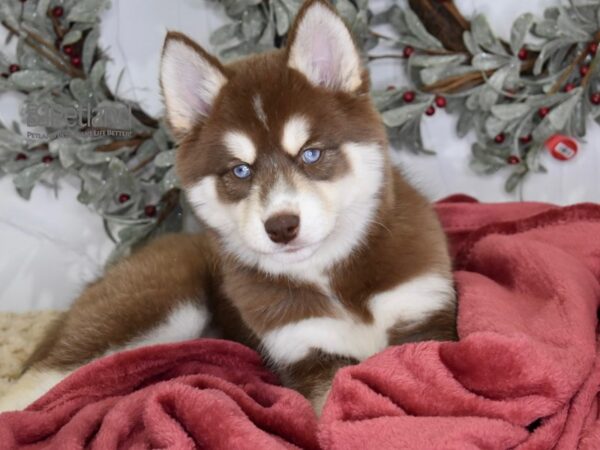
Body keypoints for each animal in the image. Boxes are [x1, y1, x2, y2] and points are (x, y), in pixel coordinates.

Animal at [0, 0, 458, 414]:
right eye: (240, 170)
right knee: (38, 378)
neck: (329, 277)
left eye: (310, 154)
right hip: (157, 304)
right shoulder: (305, 354)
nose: (282, 226)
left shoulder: (426, 320)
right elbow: (332, 402)